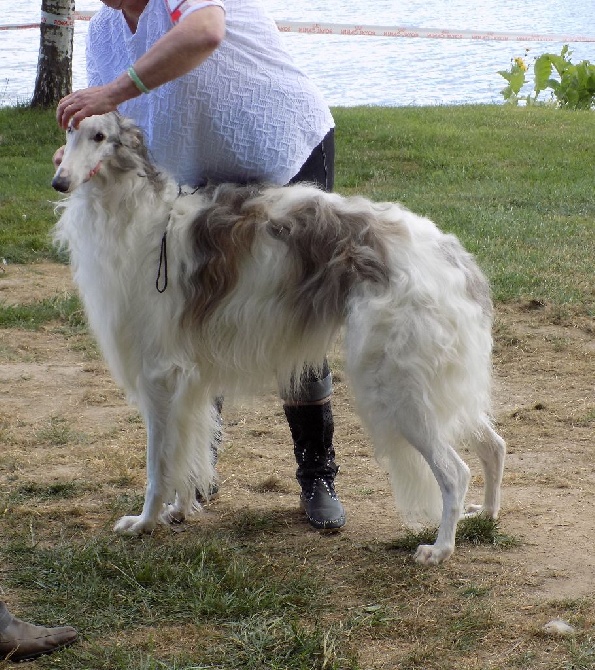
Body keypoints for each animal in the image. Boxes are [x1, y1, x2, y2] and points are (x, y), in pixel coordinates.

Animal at [53, 113, 506, 564]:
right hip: (435, 384)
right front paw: (179, 511)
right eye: (69, 132)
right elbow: (189, 451)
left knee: (455, 472)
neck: (140, 214)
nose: (59, 181)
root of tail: (454, 257)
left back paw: (440, 548)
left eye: (100, 136)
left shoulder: (158, 375)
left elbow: (158, 465)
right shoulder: (189, 381)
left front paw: (145, 522)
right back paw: (484, 515)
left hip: (398, 385)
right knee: (494, 446)